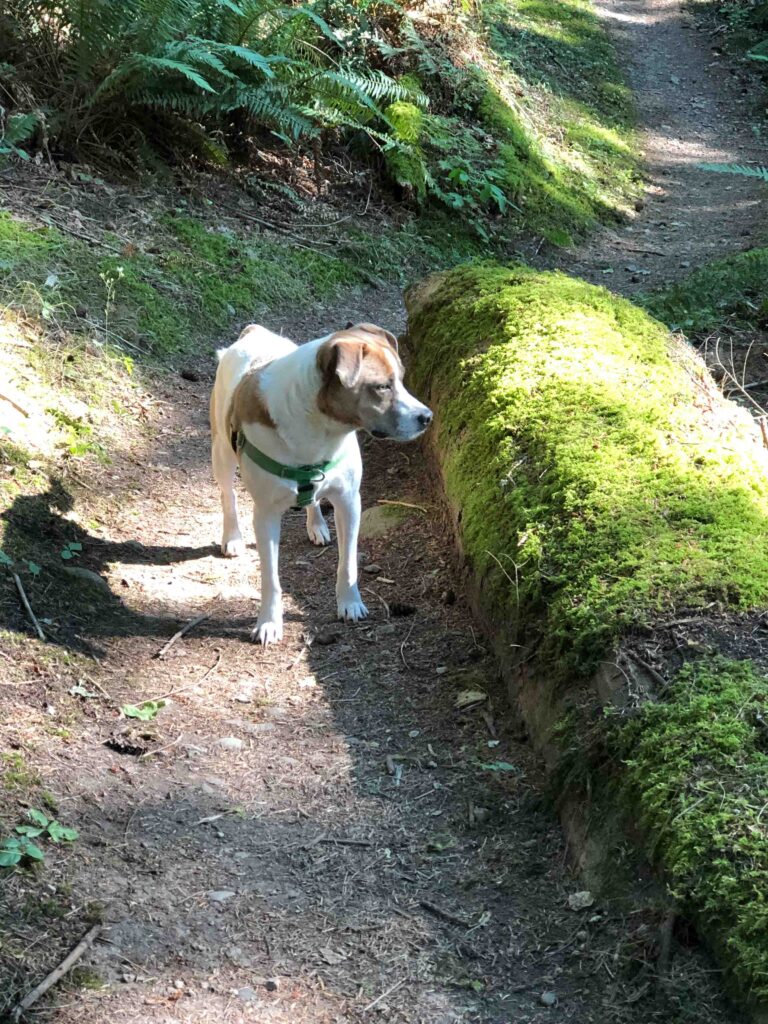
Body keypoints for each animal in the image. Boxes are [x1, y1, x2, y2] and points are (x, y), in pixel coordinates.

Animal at [210, 321, 434, 638]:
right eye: (382, 386)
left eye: (401, 380)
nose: (427, 417)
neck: (318, 428)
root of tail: (254, 332)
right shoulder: (265, 515)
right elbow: (270, 578)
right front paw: (269, 622)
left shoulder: (349, 501)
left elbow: (348, 563)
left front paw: (350, 603)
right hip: (222, 454)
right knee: (227, 495)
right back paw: (232, 537)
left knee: (313, 498)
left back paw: (316, 524)